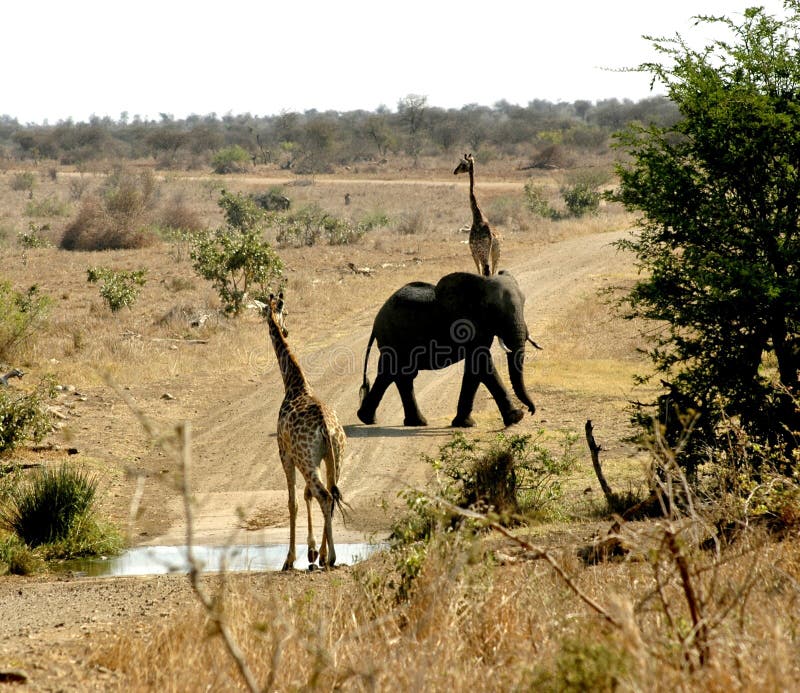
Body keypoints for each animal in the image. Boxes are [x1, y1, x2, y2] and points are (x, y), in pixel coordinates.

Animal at [266, 292, 346, 568]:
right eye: (286, 312)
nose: (286, 330)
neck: (295, 384)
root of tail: (325, 426)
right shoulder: (317, 458)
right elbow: (306, 495)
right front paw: (312, 551)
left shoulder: (285, 454)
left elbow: (293, 502)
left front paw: (290, 559)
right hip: (335, 457)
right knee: (330, 494)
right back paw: (324, 555)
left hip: (305, 459)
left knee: (324, 495)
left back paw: (331, 557)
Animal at [354, 270, 536, 428]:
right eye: (493, 309)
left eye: (524, 302)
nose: (531, 410)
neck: (480, 284)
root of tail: (376, 320)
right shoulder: (466, 326)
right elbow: (482, 365)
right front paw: (516, 417)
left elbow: (475, 369)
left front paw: (464, 424)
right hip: (393, 338)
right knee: (395, 373)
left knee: (395, 375)